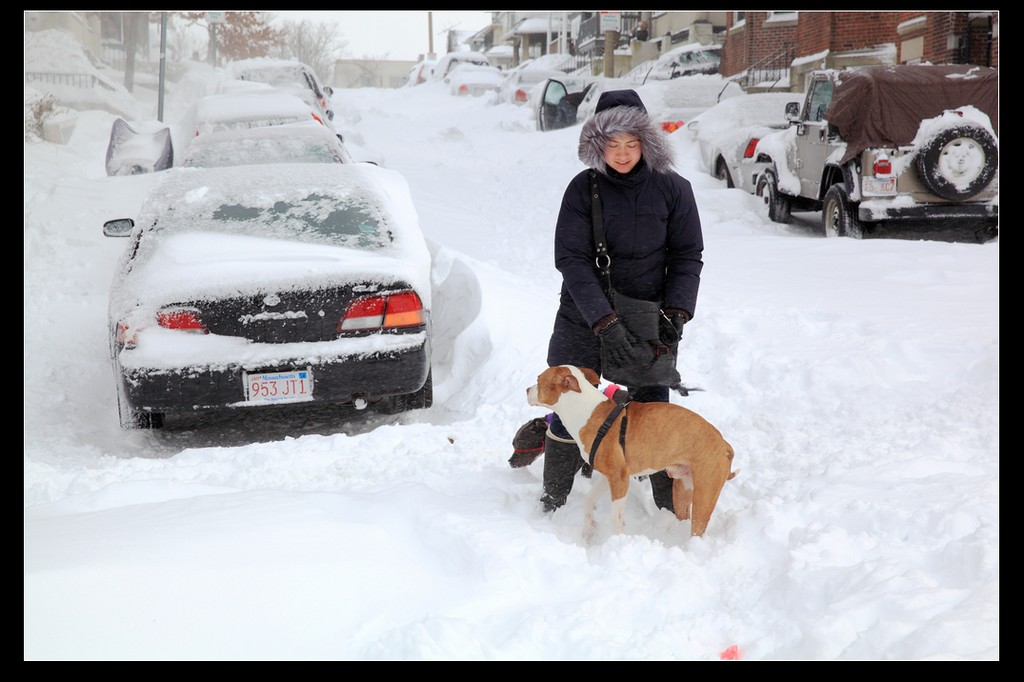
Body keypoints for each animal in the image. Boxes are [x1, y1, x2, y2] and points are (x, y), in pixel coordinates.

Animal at [528, 364, 737, 540]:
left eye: (538, 379)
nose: (527, 390)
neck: (587, 411)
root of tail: (724, 443)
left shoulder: (620, 478)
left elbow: (616, 517)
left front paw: (618, 541)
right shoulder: (609, 476)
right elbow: (589, 500)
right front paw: (588, 531)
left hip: (704, 495)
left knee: (698, 529)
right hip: (682, 488)